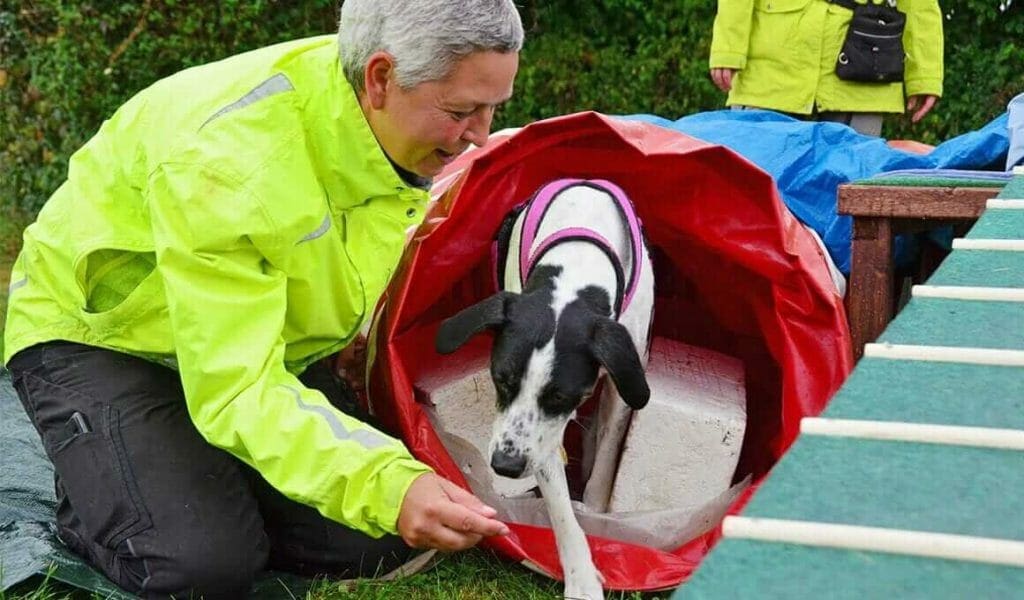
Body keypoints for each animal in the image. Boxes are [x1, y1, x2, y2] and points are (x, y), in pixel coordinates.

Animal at [436, 179, 651, 597]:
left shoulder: (623, 377)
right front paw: (581, 576)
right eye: (500, 380)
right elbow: (559, 503)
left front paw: (596, 512)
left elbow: (606, 454)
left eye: (561, 397)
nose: (504, 466)